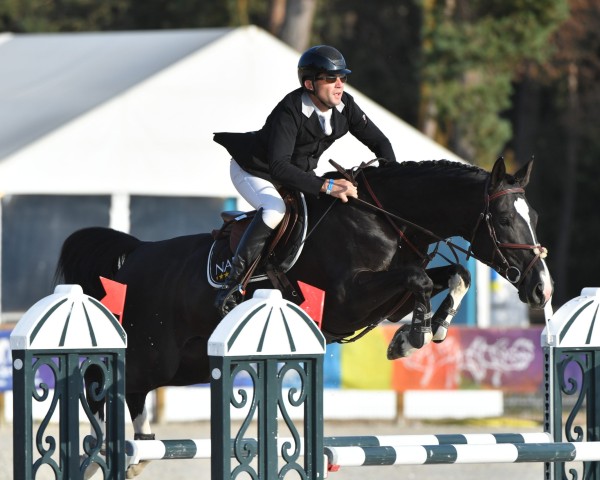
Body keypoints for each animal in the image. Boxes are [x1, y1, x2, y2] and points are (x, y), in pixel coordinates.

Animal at [54, 158, 552, 476]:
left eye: (533, 214)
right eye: (504, 219)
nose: (541, 289)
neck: (387, 221)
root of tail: (134, 255)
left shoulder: (385, 297)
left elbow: (454, 276)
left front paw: (430, 329)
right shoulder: (347, 299)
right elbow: (420, 281)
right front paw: (410, 338)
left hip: (183, 363)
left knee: (129, 394)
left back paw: (134, 449)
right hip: (156, 354)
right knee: (102, 381)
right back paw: (102, 445)